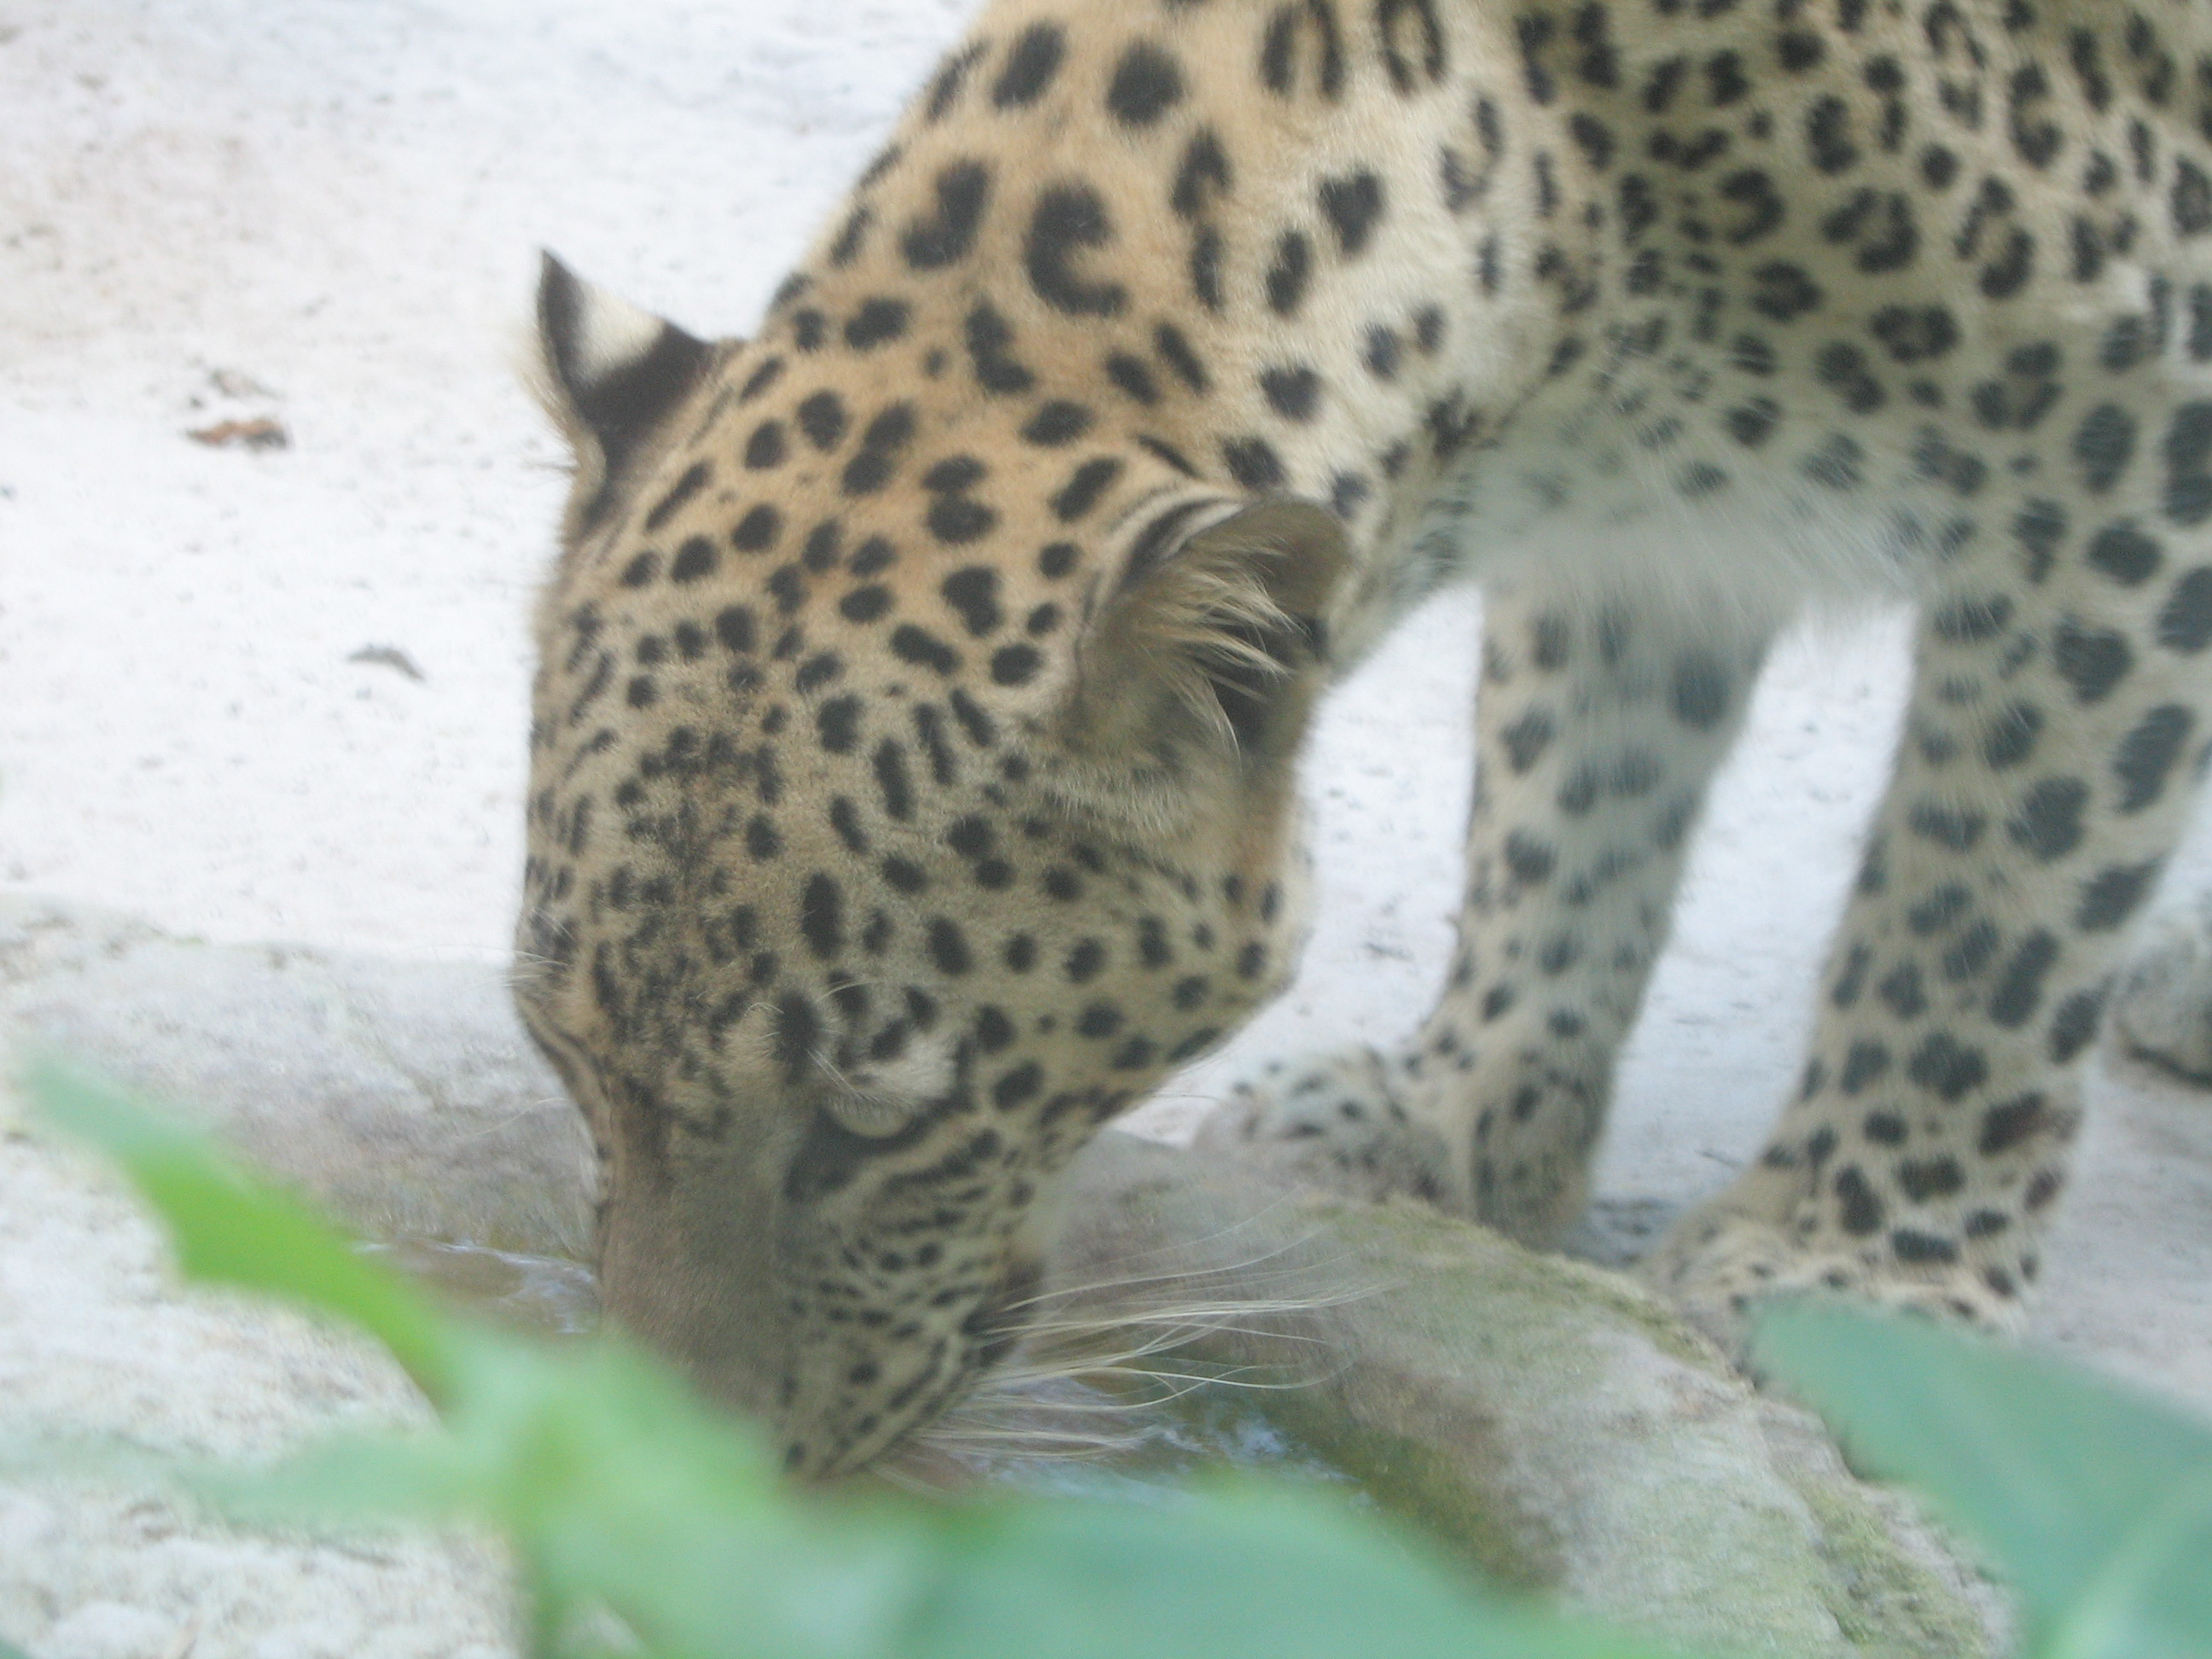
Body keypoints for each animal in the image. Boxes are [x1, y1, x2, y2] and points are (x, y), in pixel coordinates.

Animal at [514, 0, 2212, 1478]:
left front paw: (1850, 1273)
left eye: (875, 1131)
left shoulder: (2125, 451)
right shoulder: (1646, 533)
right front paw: (1458, 1122)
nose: (660, 1474)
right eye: (565, 1056)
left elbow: (1992, 901)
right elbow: (1576, 798)